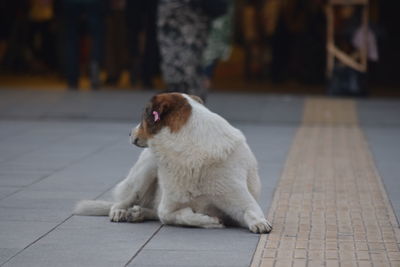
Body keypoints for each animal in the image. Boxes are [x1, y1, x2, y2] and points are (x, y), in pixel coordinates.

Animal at [73, 92, 272, 234]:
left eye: (143, 117)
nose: (129, 133)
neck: (190, 150)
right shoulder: (168, 208)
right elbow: (179, 216)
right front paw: (209, 220)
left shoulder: (241, 200)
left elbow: (251, 211)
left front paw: (259, 222)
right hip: (145, 170)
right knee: (124, 201)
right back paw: (121, 211)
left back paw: (138, 213)